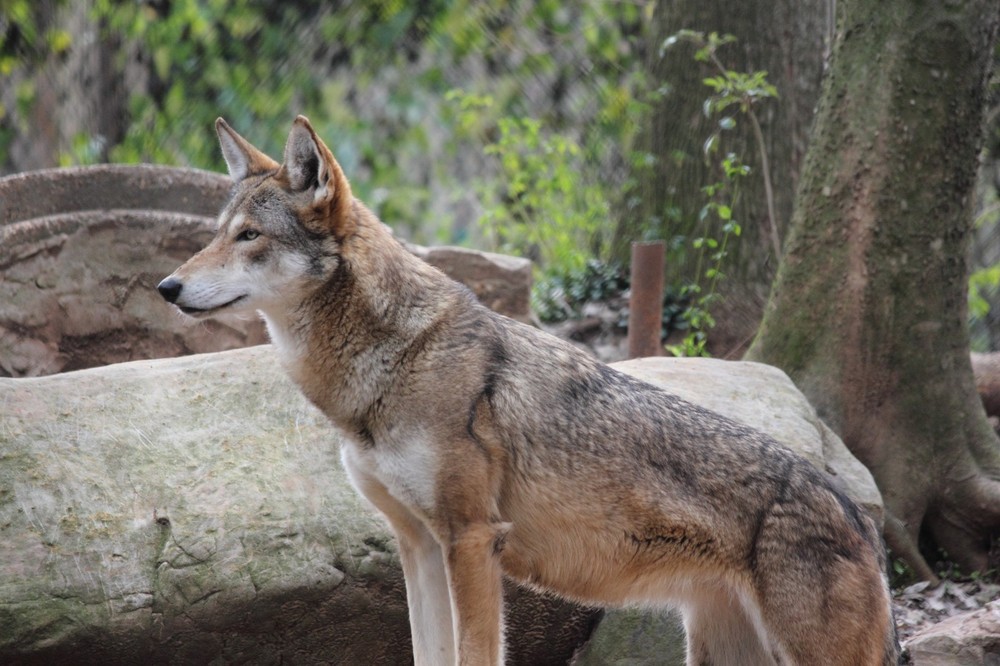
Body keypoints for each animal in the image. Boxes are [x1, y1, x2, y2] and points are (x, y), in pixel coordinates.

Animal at [158, 116, 900, 666]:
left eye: (249, 236)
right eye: (215, 236)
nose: (166, 287)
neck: (392, 363)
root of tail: (862, 515)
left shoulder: (471, 541)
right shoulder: (418, 548)